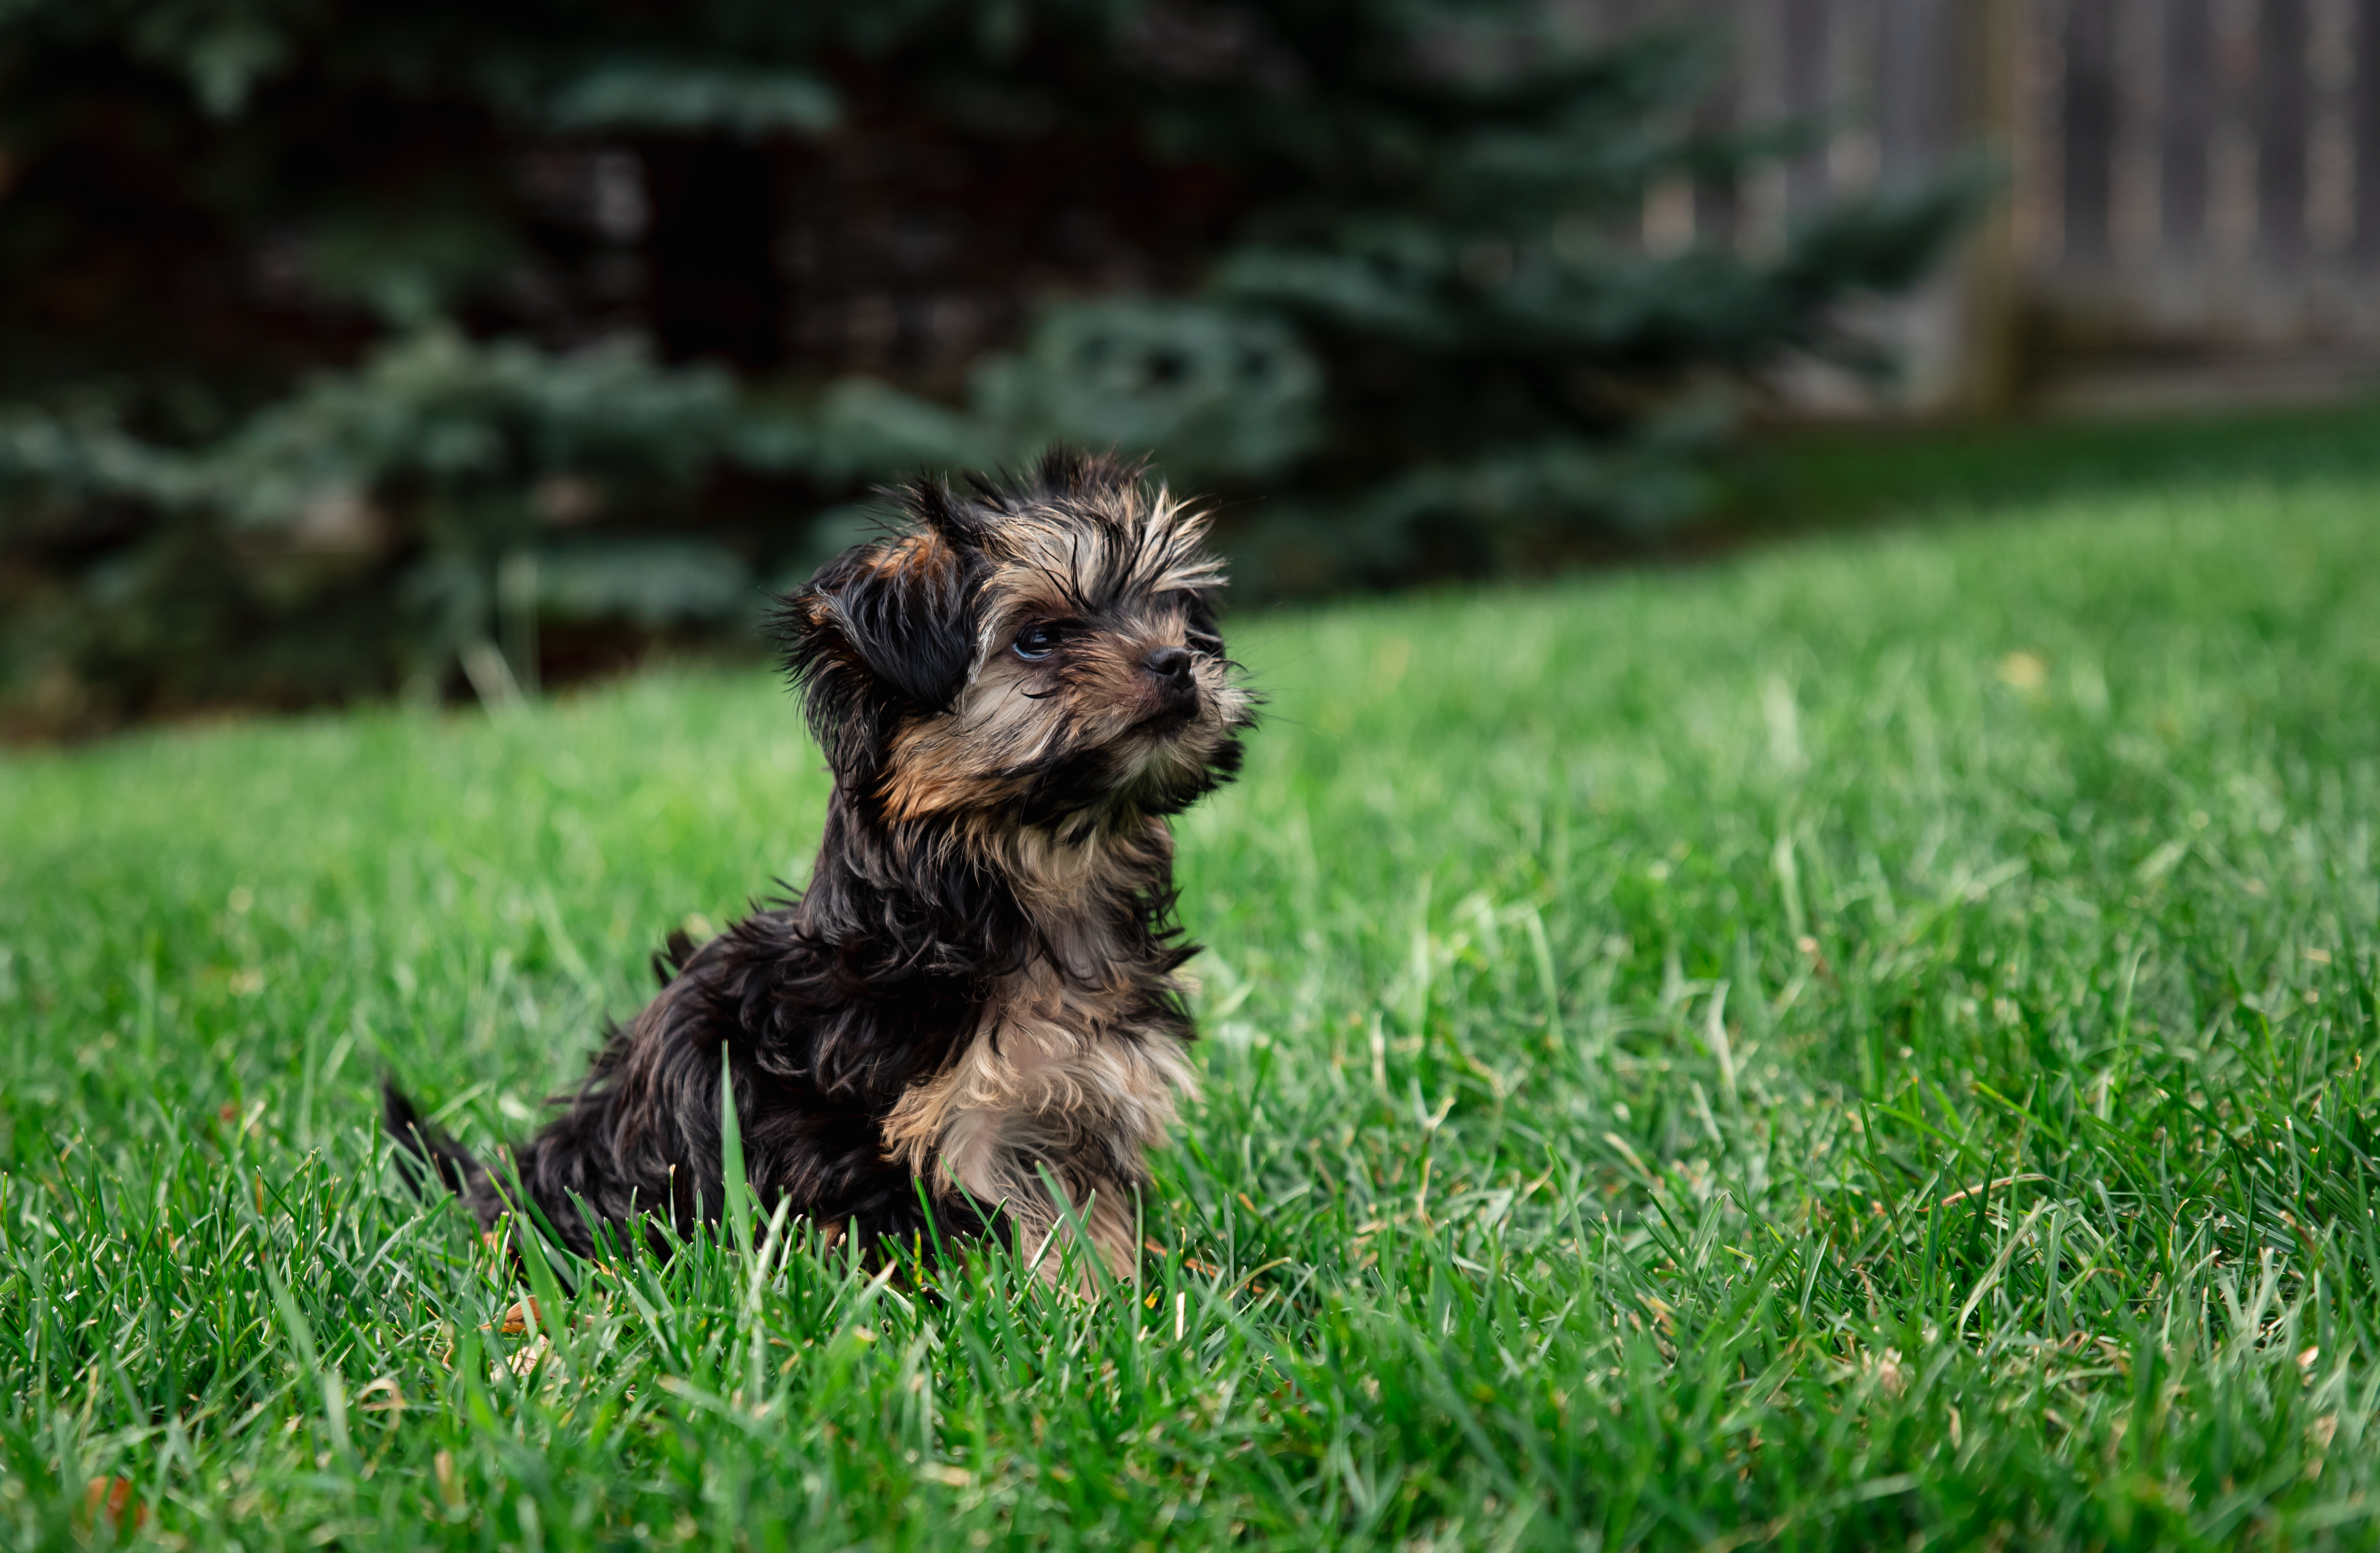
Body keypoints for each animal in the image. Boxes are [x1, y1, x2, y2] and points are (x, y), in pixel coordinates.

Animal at [388, 455, 1247, 1277]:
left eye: (1174, 616)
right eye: (1038, 637)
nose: (1177, 660)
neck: (1042, 874)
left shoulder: (1080, 1103)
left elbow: (1092, 1226)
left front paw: (1117, 1299)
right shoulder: (948, 1133)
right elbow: (1010, 1239)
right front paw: (1059, 1305)